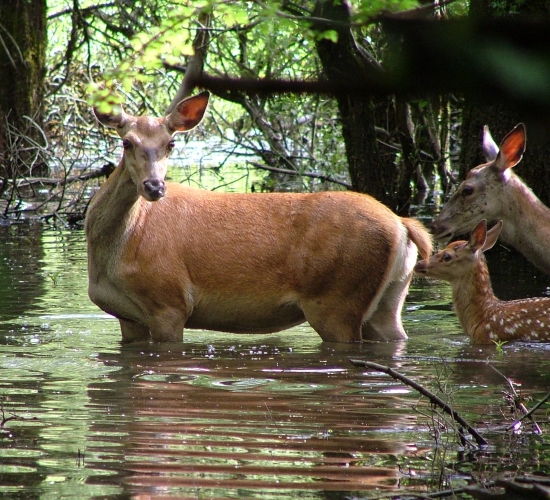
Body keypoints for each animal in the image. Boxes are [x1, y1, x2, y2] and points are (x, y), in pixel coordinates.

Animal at [86, 91, 434, 344]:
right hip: (390, 299)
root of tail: (402, 225)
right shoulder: (129, 317)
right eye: (126, 142)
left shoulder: (169, 301)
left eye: (170, 143)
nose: (155, 186)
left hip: (337, 299)